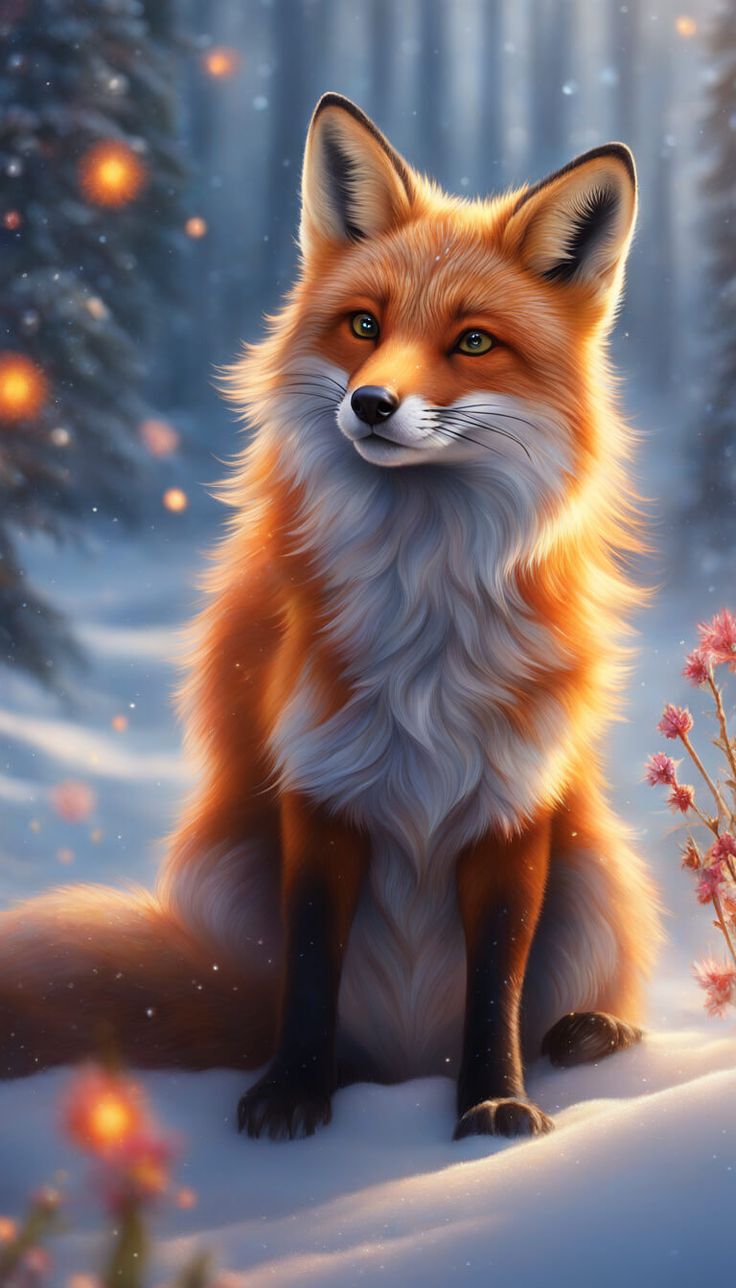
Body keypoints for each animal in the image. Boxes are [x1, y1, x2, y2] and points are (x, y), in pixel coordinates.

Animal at [0, 94, 661, 1141]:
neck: (423, 611)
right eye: (364, 324)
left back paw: (594, 1033)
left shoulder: (513, 804)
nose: (373, 403)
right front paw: (296, 1095)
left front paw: (496, 1103)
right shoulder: (317, 785)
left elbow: (498, 980)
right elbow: (314, 965)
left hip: (598, 869)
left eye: (474, 342)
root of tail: (408, 1058)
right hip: (226, 875)